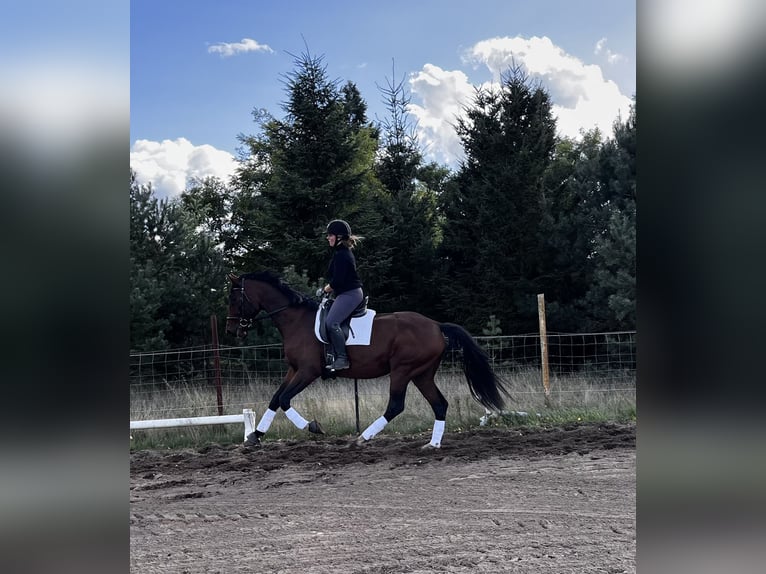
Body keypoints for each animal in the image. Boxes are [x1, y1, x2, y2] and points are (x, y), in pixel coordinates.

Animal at [225, 271, 511, 449]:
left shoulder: (308, 371)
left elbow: (285, 399)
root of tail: (436, 326)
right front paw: (255, 436)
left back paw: (363, 438)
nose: (232, 330)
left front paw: (314, 427)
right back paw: (433, 444)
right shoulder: (294, 370)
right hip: (422, 373)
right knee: (439, 404)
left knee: (395, 405)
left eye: (234, 298)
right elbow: (275, 399)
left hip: (402, 370)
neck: (296, 320)